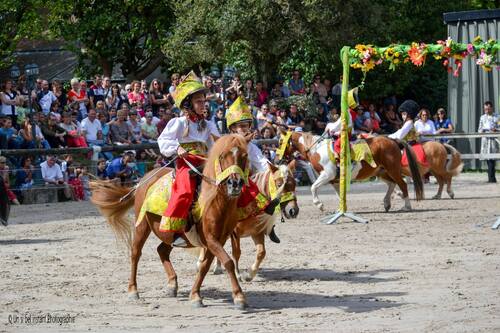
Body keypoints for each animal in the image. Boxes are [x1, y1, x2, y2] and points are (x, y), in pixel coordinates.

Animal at [90, 134, 250, 308]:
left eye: (244, 156)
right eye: (221, 156)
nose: (235, 184)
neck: (214, 200)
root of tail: (142, 181)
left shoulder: (218, 239)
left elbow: (205, 266)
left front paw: (195, 295)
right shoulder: (211, 239)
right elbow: (227, 262)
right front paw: (239, 296)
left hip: (169, 232)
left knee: (162, 250)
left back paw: (172, 284)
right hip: (142, 225)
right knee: (135, 253)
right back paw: (133, 290)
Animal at [280, 130, 424, 210]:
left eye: (281, 142)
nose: (279, 159)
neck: (317, 149)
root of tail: (393, 140)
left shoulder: (327, 175)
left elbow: (313, 187)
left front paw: (319, 204)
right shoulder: (334, 180)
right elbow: (339, 195)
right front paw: (341, 209)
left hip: (392, 170)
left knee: (402, 184)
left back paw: (406, 206)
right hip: (382, 172)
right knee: (392, 184)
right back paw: (387, 202)